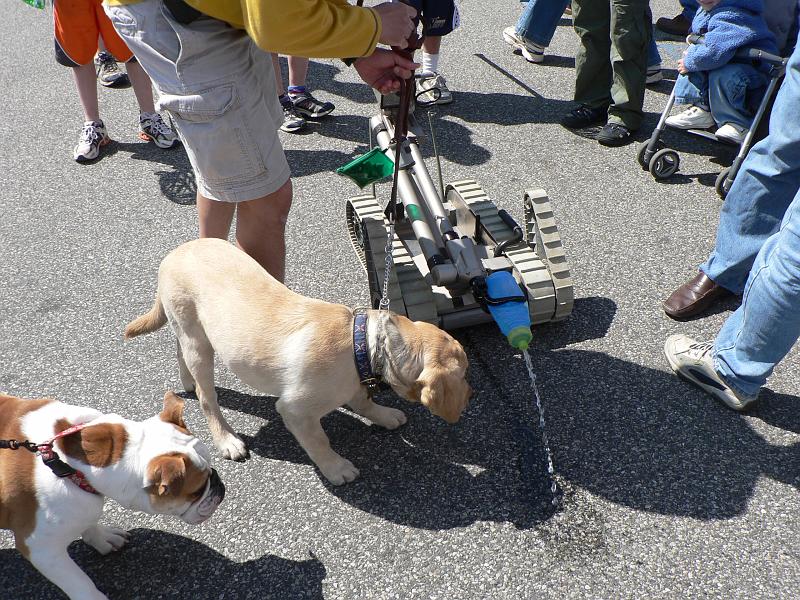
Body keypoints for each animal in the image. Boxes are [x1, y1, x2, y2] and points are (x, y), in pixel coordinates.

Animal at [127, 238, 472, 482]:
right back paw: (226, 439)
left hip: (191, 331)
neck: (365, 343)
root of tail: (174, 253)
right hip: (199, 346)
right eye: (465, 374)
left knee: (178, 349)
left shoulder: (353, 383)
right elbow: (319, 441)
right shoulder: (296, 411)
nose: (470, 396)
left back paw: (186, 379)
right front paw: (336, 468)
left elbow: (364, 401)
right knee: (206, 397)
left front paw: (384, 415)